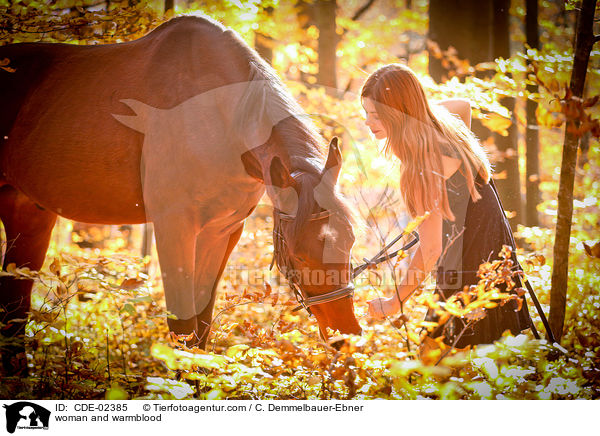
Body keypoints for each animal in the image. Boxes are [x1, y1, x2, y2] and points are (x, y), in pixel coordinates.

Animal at [0, 15, 360, 372]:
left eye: (350, 241)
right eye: (300, 256)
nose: (346, 337)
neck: (221, 117)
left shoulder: (224, 231)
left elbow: (202, 326)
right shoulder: (174, 226)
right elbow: (184, 327)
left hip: (28, 212)